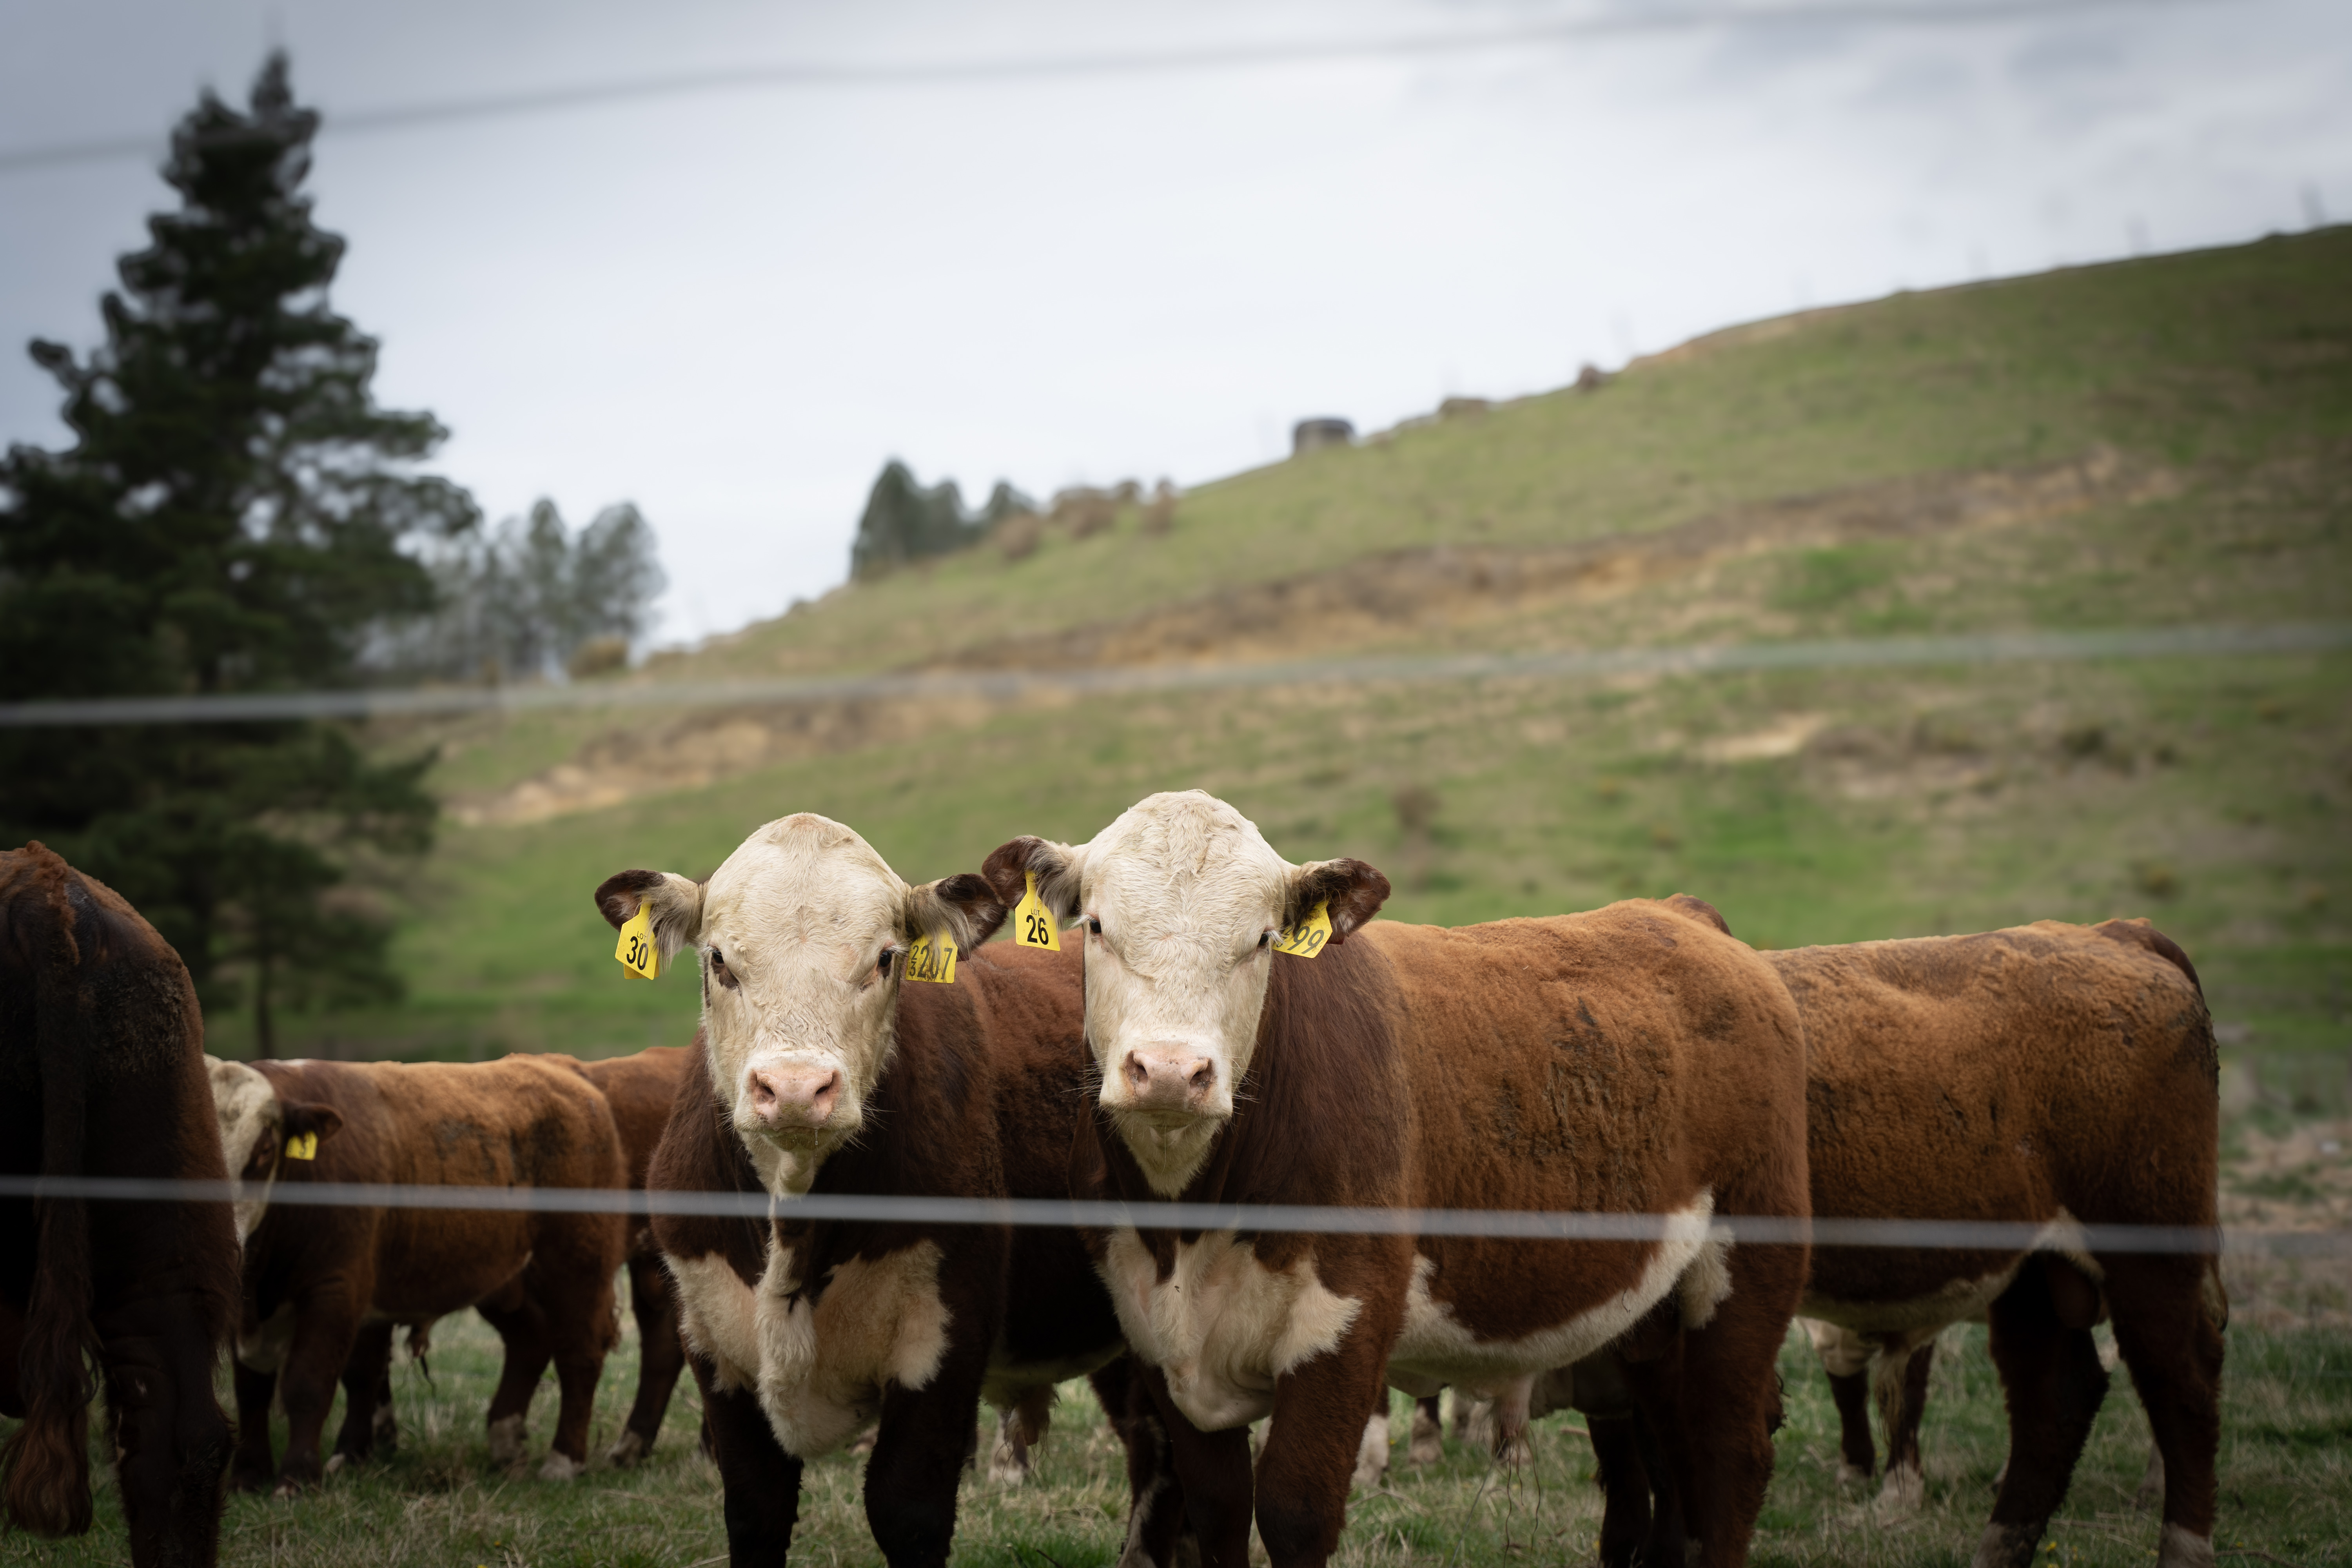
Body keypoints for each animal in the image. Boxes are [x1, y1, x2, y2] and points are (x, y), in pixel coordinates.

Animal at [211, 1054, 628, 1492]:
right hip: (501, 1280)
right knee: (529, 1342)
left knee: (579, 1353)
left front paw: (297, 1478)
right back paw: (505, 1442)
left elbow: (308, 1382)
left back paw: (564, 1460)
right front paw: (249, 1473)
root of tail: (559, 1066)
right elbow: (253, 1388)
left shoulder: (335, 1291)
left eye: (265, 1150)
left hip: (578, 1267)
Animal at [596, 813, 1182, 1568]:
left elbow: (907, 1510)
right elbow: (754, 1510)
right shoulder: (714, 1345)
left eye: (884, 960)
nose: (795, 1088)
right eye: (719, 961)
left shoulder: (941, 1336)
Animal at [980, 790, 1813, 1568]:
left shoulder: (1343, 1329)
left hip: (1746, 1272)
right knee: (1673, 1450)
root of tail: (1682, 914)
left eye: (1261, 941)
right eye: (1095, 927)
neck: (1188, 1225)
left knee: (1729, 1453)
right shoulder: (1157, 1337)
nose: (1171, 1072)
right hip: (1653, 1323)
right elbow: (1216, 1508)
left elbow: (1294, 1509)